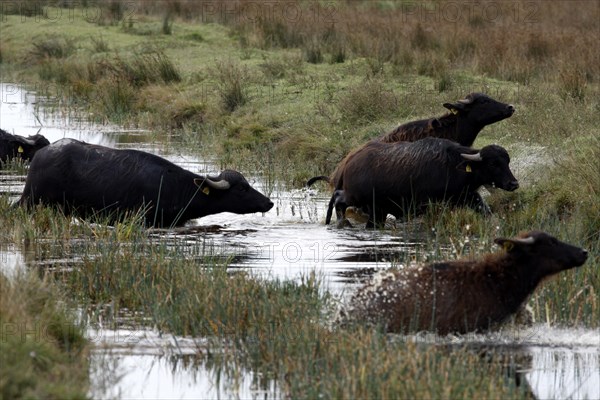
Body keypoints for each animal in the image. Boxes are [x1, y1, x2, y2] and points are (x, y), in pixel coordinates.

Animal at [330, 137, 516, 227]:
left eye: (507, 161)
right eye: (493, 163)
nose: (513, 184)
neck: (452, 165)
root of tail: (350, 159)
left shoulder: (468, 196)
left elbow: (486, 211)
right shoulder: (425, 205)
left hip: (377, 211)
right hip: (357, 198)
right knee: (339, 200)